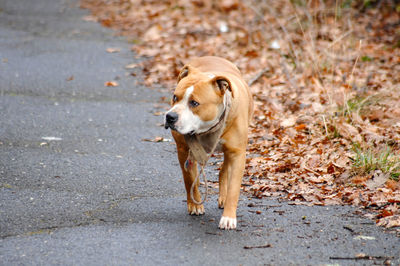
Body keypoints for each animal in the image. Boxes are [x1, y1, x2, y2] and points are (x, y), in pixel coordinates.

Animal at [163, 55, 252, 229]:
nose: (170, 117)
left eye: (194, 103)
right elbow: (189, 178)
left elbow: (234, 188)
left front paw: (229, 217)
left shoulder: (237, 153)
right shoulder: (183, 149)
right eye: (175, 97)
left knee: (224, 169)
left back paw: (223, 198)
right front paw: (195, 205)